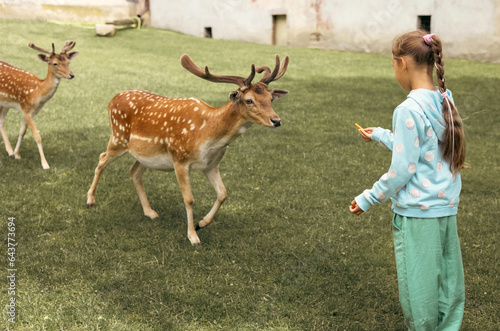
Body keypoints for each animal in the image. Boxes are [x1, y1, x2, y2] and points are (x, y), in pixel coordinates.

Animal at [0, 41, 78, 170]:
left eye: (68, 62)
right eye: (55, 63)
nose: (71, 75)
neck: (37, 92)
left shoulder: (29, 111)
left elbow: (22, 132)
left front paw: (17, 155)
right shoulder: (26, 109)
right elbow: (37, 136)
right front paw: (45, 164)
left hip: (5, 103)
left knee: (1, 121)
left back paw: (10, 151)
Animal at [86, 53, 290, 246]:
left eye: (270, 98)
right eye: (249, 100)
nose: (276, 120)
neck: (208, 136)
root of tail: (112, 99)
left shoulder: (211, 165)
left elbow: (223, 193)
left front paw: (202, 223)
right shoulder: (180, 159)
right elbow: (189, 199)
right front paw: (193, 237)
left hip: (145, 154)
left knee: (134, 171)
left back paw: (150, 212)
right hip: (118, 138)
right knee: (101, 158)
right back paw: (90, 200)